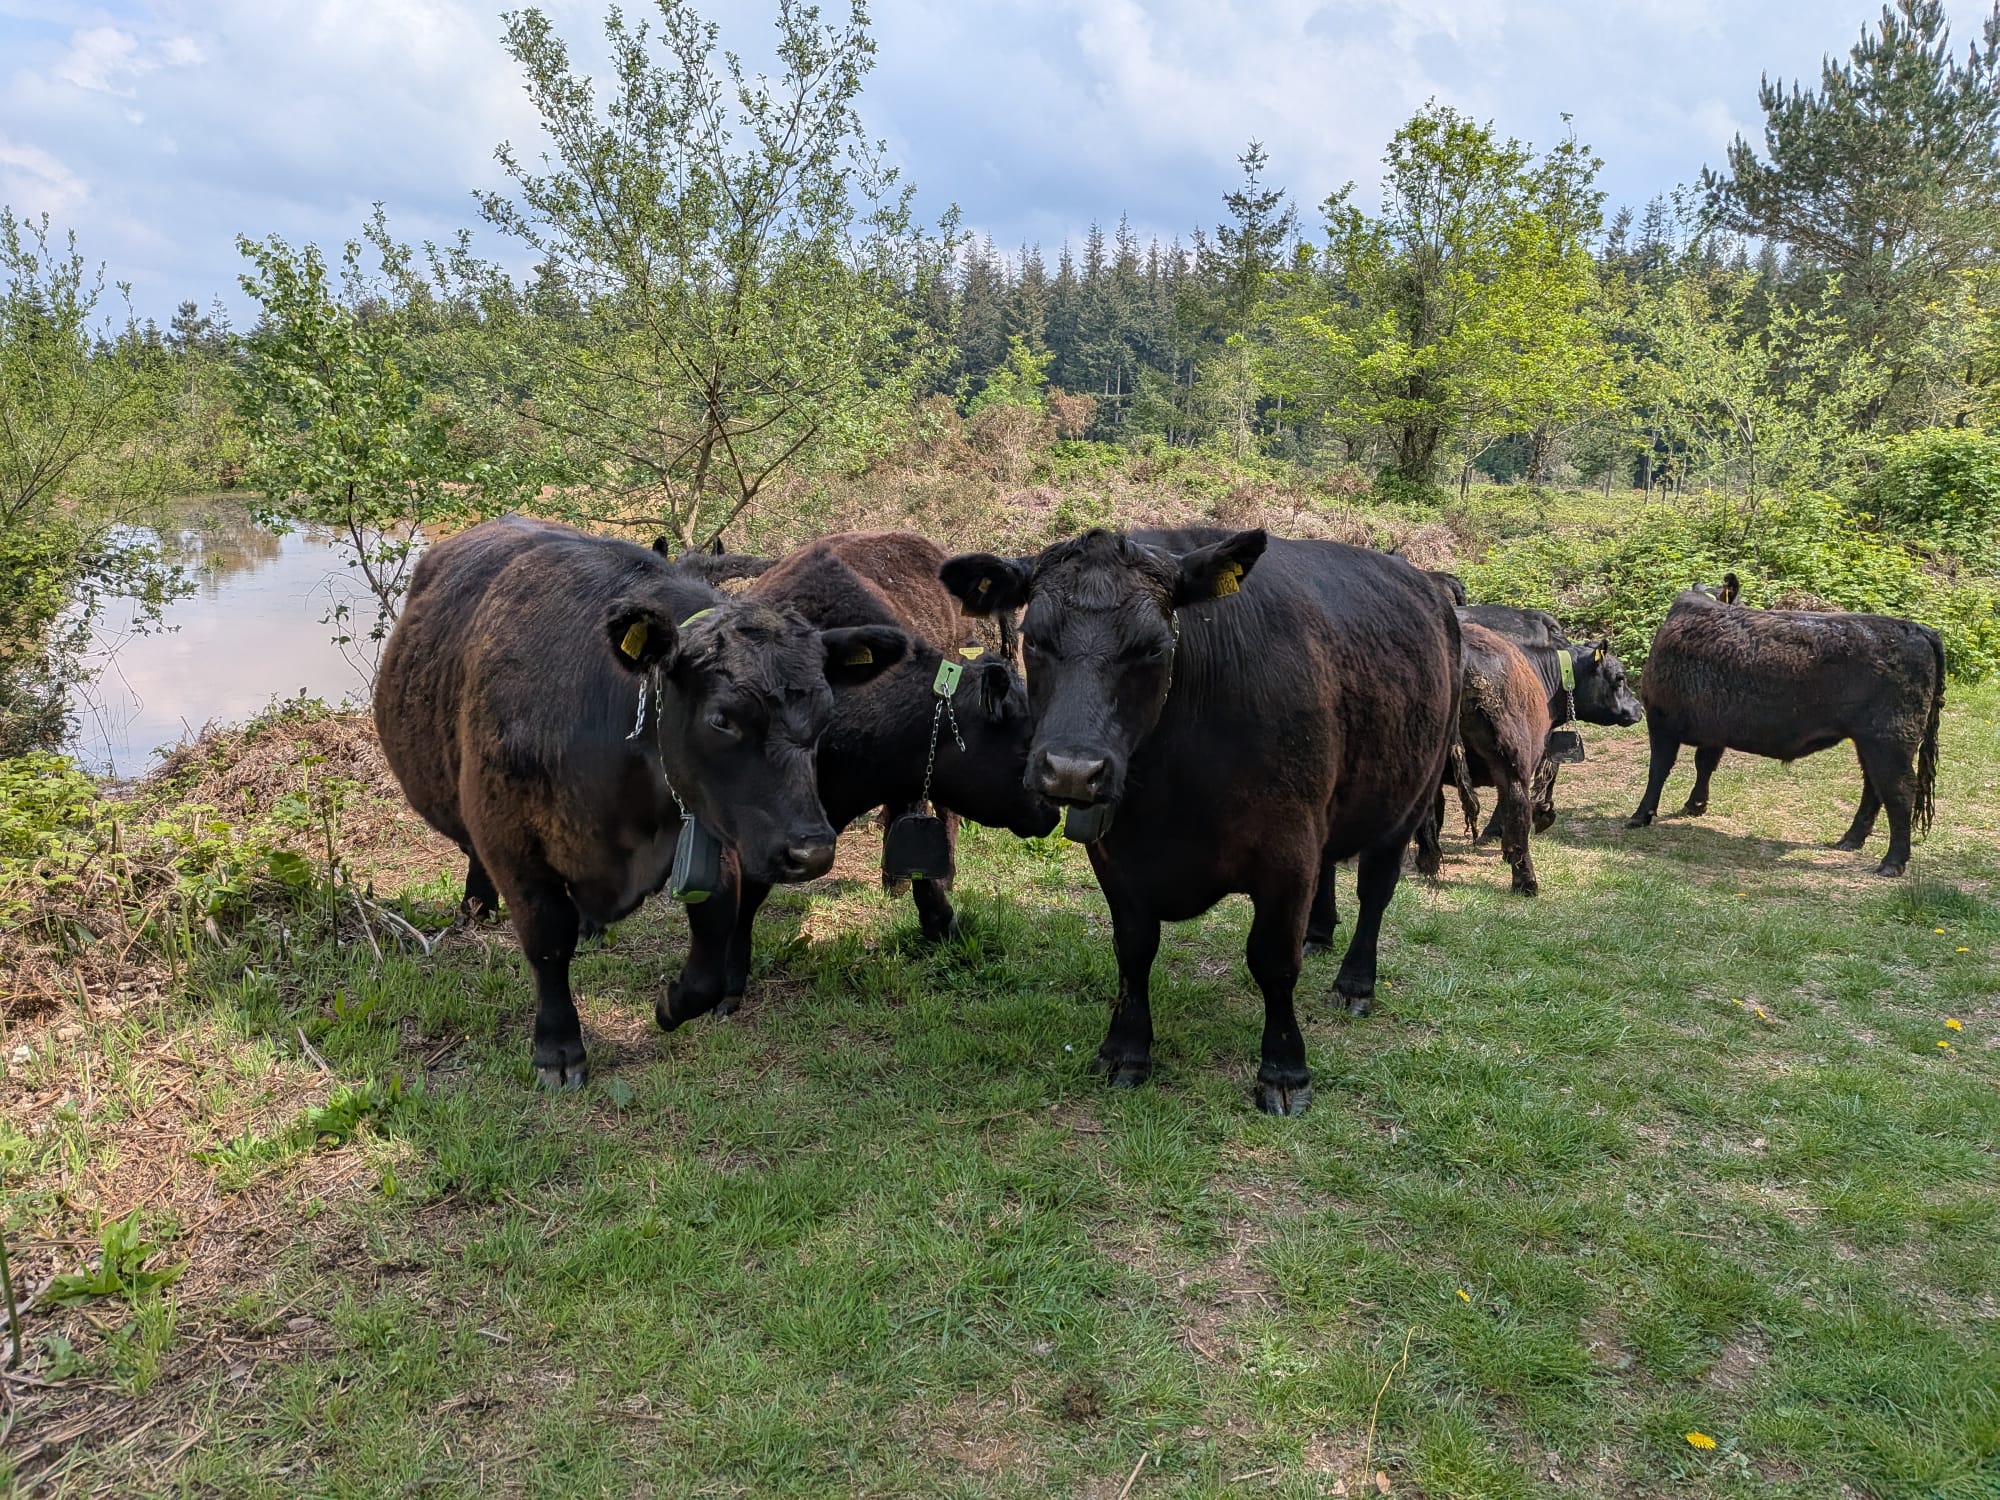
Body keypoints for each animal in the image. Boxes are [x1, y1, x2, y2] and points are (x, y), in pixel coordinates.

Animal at [375, 516, 907, 1089]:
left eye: (827, 711)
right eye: (721, 719)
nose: (811, 852)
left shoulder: (712, 830)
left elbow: (713, 941)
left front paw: (672, 1005)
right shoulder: (513, 841)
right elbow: (547, 939)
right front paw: (558, 1049)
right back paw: (478, 905)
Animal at [941, 526, 1461, 1116]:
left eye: (1154, 646)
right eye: (1034, 638)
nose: (1073, 770)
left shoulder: (1287, 853)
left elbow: (1273, 961)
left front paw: (1284, 1070)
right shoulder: (1116, 857)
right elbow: (1133, 950)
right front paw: (1125, 1050)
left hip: (1411, 799)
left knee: (1375, 891)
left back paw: (1354, 984)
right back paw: (1317, 933)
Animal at [1624, 573, 1945, 877]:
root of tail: (1917, 629)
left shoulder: (1660, 719)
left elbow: (1658, 770)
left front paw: (1639, 816)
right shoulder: (1714, 731)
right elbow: (1704, 765)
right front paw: (1695, 806)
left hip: (1889, 740)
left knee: (1899, 792)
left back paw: (1891, 863)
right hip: (1870, 742)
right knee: (1874, 787)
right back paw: (1849, 841)